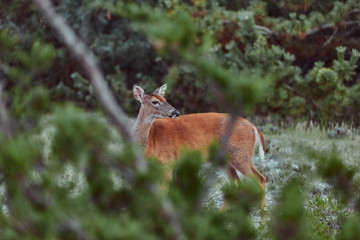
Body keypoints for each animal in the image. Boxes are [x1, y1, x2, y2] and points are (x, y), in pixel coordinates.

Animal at [133, 84, 268, 216]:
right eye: (155, 101)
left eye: (165, 99)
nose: (176, 112)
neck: (150, 141)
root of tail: (254, 127)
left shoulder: (167, 162)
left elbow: (163, 192)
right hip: (225, 160)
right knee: (235, 184)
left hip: (239, 154)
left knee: (260, 179)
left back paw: (263, 219)